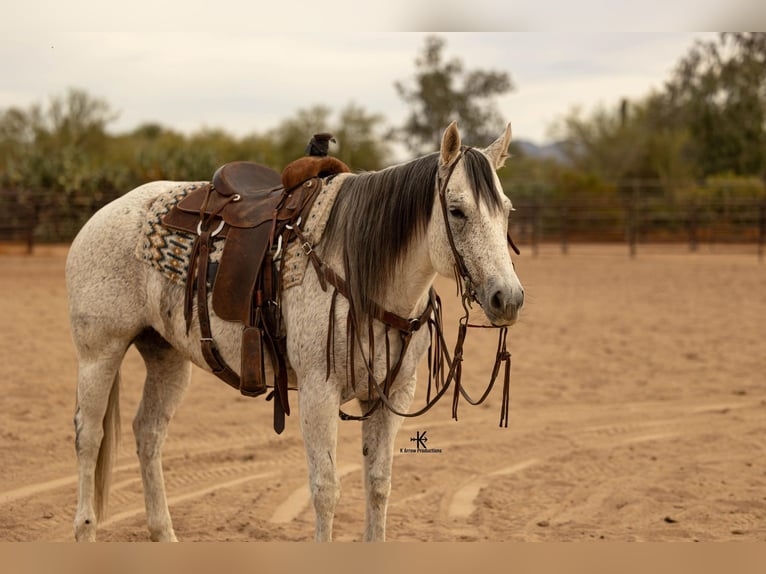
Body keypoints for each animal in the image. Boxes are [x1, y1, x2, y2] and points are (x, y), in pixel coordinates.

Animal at [66, 121, 524, 544]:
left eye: (506, 210)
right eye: (457, 210)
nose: (508, 298)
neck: (361, 271)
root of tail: (102, 215)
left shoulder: (393, 392)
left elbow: (378, 484)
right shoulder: (319, 392)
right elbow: (325, 490)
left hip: (166, 356)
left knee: (148, 433)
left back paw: (164, 533)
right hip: (99, 353)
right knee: (89, 436)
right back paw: (86, 530)